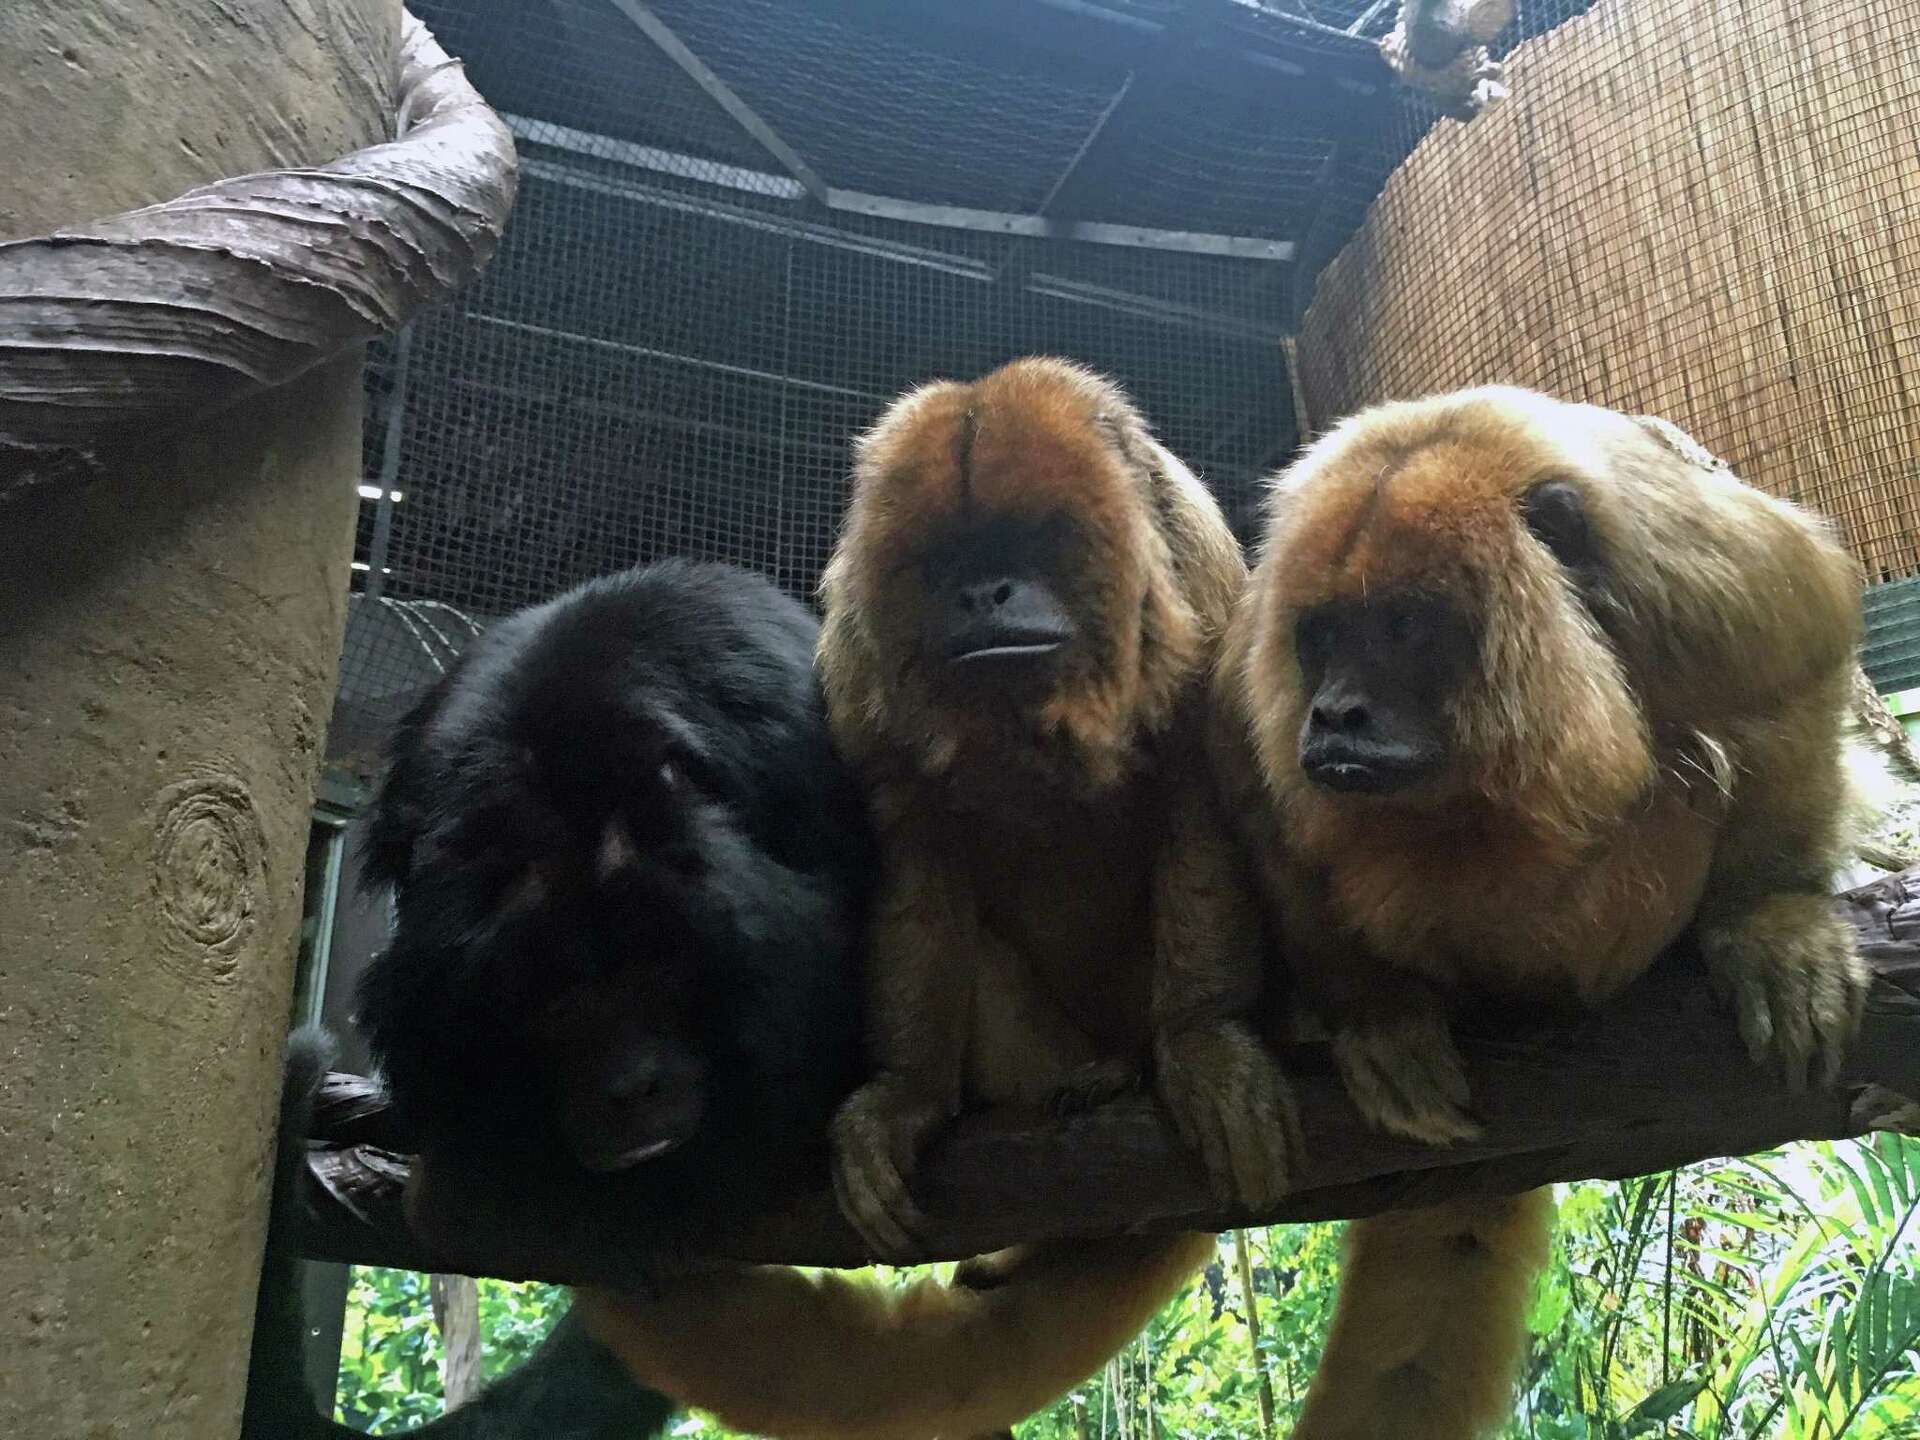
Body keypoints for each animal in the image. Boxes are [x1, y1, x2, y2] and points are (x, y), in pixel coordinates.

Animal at [1210, 384, 1868, 1439]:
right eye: (1323, 636)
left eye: (1405, 626)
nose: (1336, 713)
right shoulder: (1256, 660)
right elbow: (1253, 793)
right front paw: (1379, 1014)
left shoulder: (1694, 579)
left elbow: (1794, 653)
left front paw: (1772, 918)